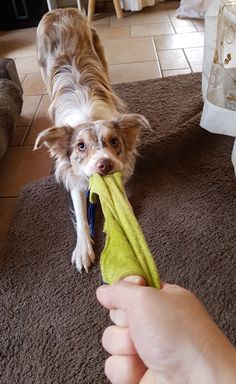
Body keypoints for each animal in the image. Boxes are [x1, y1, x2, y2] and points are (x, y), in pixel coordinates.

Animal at [34, 7, 149, 272]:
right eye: (80, 146)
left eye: (115, 142)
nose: (104, 164)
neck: (90, 117)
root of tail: (60, 9)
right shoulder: (74, 177)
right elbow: (81, 213)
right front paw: (83, 249)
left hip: (99, 50)